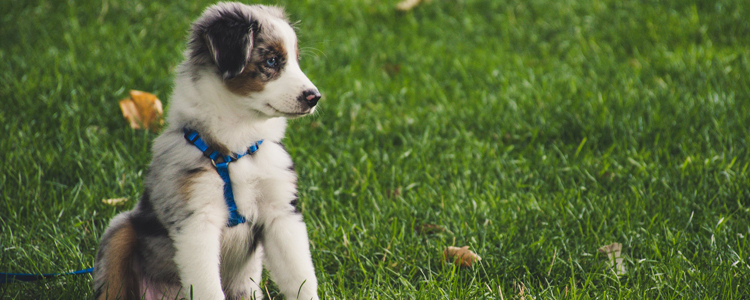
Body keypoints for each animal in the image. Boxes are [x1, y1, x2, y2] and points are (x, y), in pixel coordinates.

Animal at [93, 2, 320, 300]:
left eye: (296, 60)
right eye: (272, 61)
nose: (315, 97)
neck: (237, 146)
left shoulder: (280, 213)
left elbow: (299, 276)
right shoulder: (197, 220)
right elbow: (208, 287)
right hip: (121, 230)